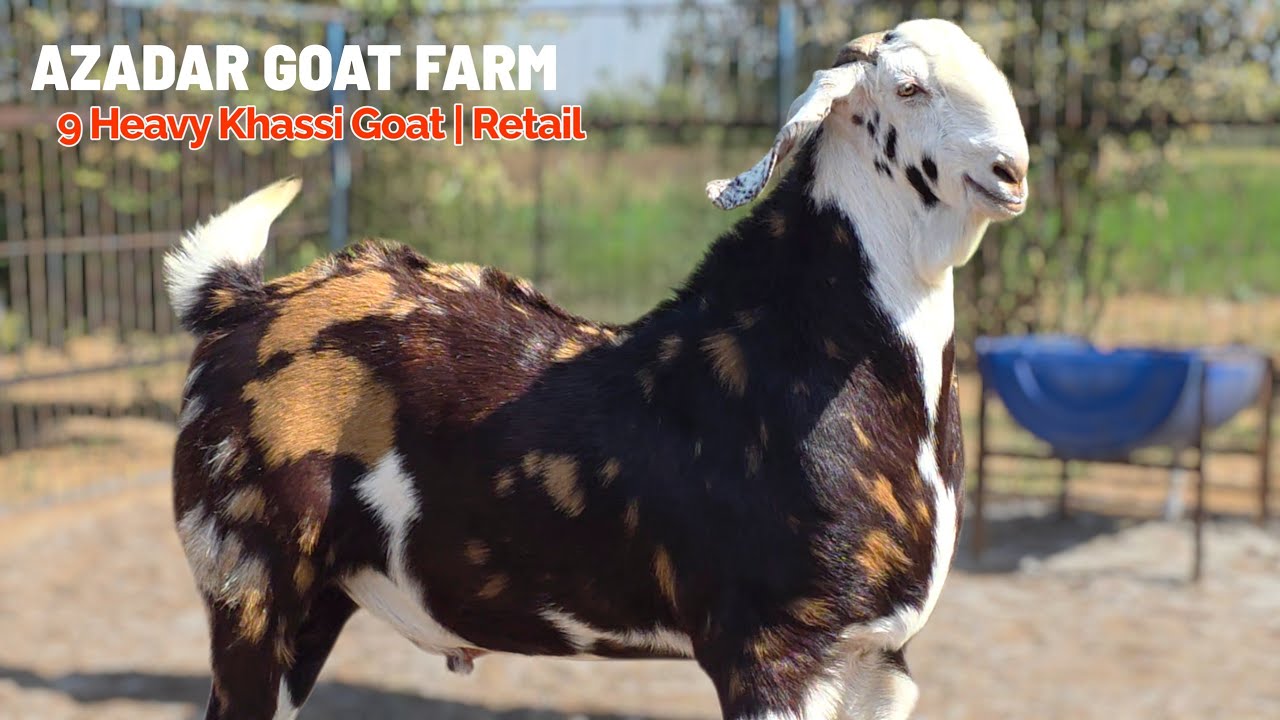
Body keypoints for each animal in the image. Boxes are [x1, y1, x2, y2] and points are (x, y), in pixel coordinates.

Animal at [165, 18, 1027, 720]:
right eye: (908, 88)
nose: (1011, 170)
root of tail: (237, 299)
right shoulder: (774, 648)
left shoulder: (877, 658)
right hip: (252, 591)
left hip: (313, 606)